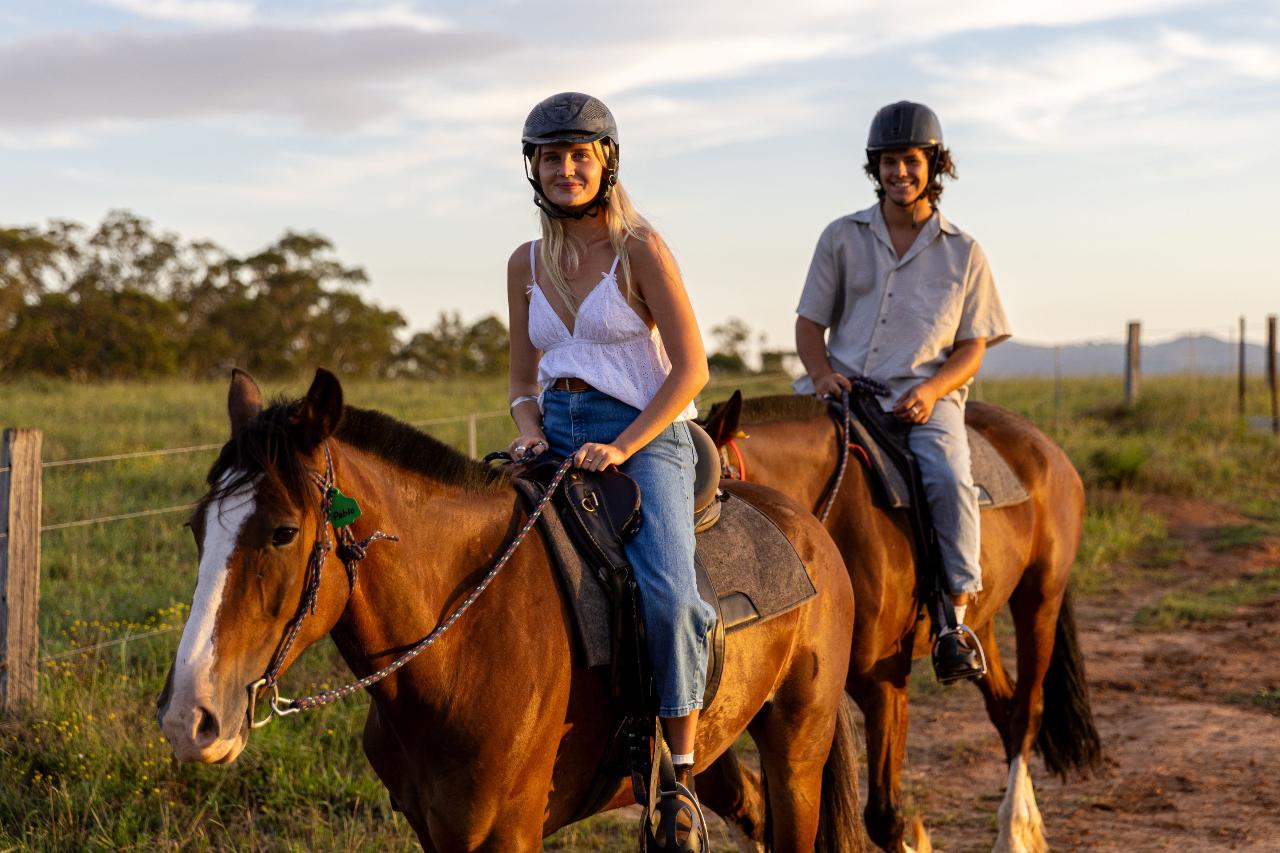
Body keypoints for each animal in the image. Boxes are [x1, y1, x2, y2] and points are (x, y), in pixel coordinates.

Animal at [157, 371, 860, 850]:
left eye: (282, 532)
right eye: (195, 527)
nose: (188, 719)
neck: (463, 640)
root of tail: (807, 526)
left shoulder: (505, 835)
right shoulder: (436, 831)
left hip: (798, 747)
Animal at [696, 394, 1105, 850]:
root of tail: (1043, 444)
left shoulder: (883, 683)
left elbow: (884, 817)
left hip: (1040, 599)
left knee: (1026, 710)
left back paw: (1014, 829)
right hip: (980, 622)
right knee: (1003, 705)